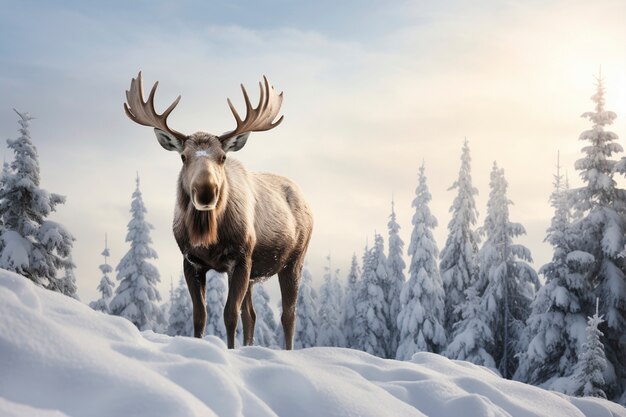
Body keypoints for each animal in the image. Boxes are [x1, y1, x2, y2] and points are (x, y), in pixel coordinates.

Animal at [123, 74, 312, 348]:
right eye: (183, 156)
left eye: (223, 157)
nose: (206, 191)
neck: (209, 237)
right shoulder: (191, 262)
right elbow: (200, 316)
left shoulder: (241, 258)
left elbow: (229, 314)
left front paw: (231, 350)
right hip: (256, 273)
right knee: (252, 315)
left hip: (294, 260)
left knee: (289, 315)